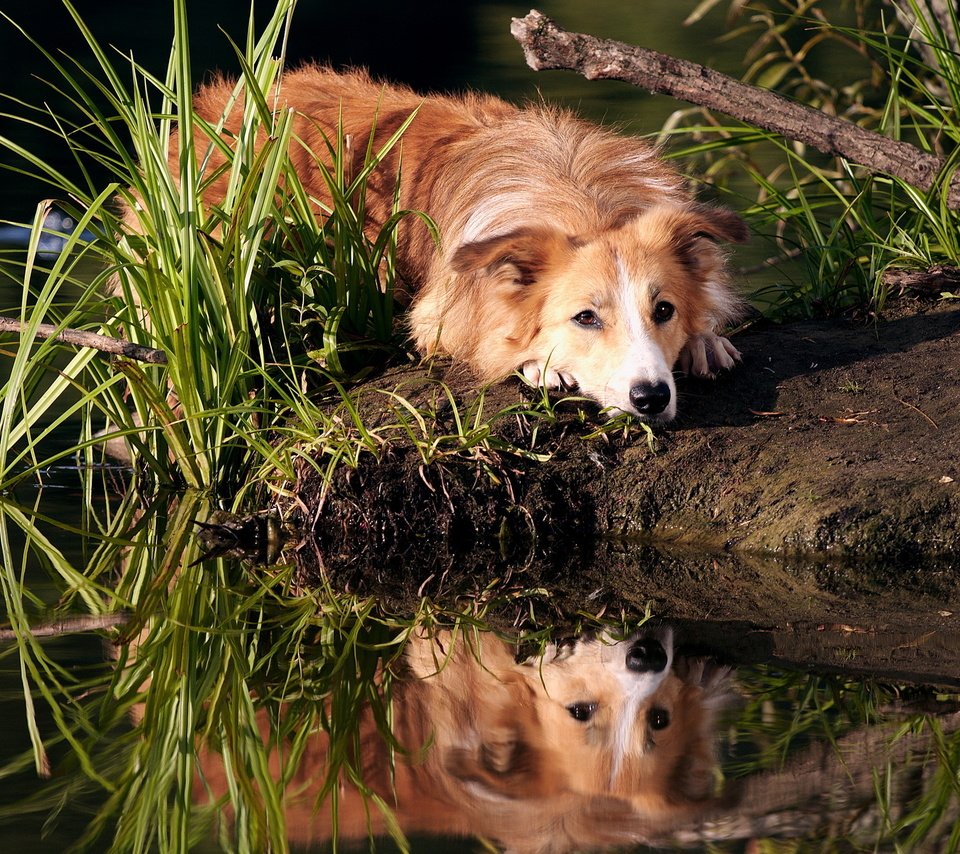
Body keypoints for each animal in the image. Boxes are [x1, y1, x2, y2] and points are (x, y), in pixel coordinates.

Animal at [127, 66, 748, 422]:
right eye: (585, 318)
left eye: (663, 310)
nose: (652, 398)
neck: (581, 198)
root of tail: (212, 108)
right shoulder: (437, 318)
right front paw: (541, 366)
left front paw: (705, 339)